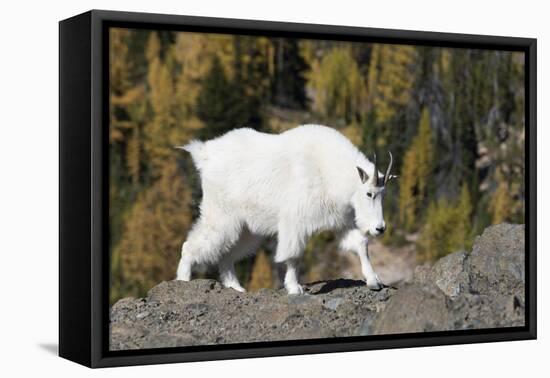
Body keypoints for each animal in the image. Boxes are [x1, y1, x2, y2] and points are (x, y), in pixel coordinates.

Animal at [177, 125, 396, 294]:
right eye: (369, 193)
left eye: (384, 194)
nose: (380, 228)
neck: (327, 171)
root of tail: (205, 154)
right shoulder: (295, 222)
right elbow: (293, 255)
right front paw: (294, 288)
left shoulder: (341, 222)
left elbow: (360, 244)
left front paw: (374, 281)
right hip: (222, 215)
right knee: (191, 245)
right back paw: (183, 280)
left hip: (246, 227)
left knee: (226, 254)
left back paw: (236, 288)